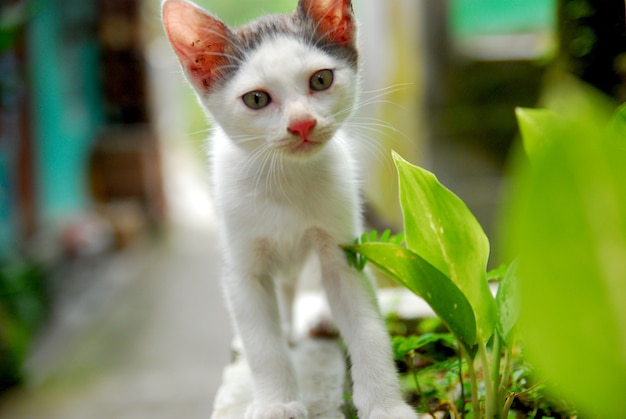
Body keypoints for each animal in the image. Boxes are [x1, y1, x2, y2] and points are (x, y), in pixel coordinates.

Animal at [161, 1, 416, 418]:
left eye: (321, 80)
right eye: (256, 99)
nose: (301, 124)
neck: (285, 179)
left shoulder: (345, 250)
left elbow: (367, 325)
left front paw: (385, 405)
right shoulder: (242, 265)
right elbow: (262, 343)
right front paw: (277, 402)